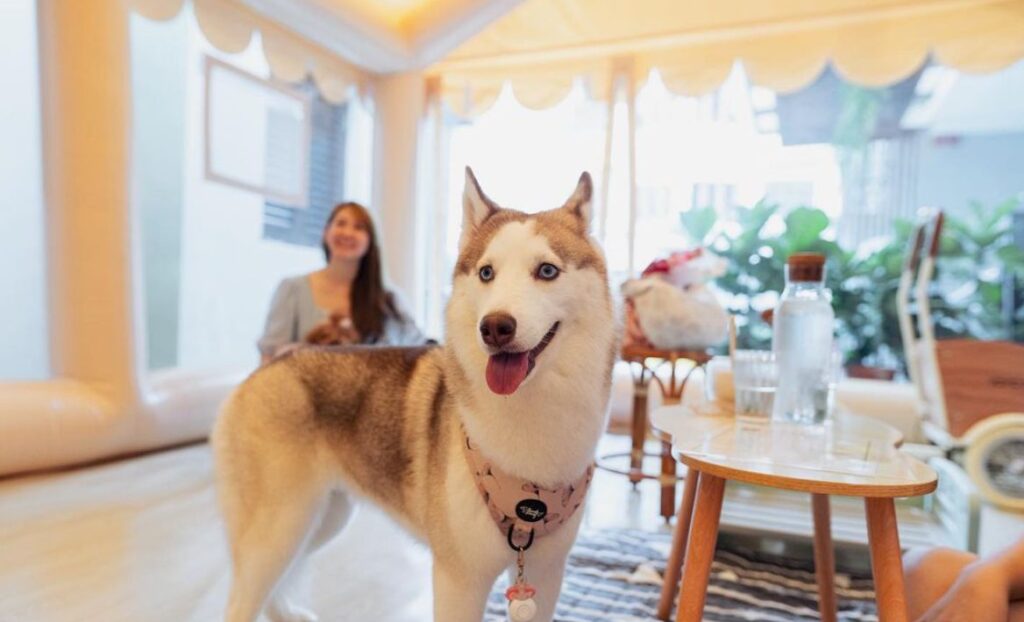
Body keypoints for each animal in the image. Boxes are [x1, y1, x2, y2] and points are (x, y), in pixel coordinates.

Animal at [209, 170, 614, 622]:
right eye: (486, 273)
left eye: (547, 270)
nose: (494, 327)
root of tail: (264, 370)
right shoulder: (460, 582)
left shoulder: (545, 572)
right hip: (279, 525)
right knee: (243, 597)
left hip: (322, 517)